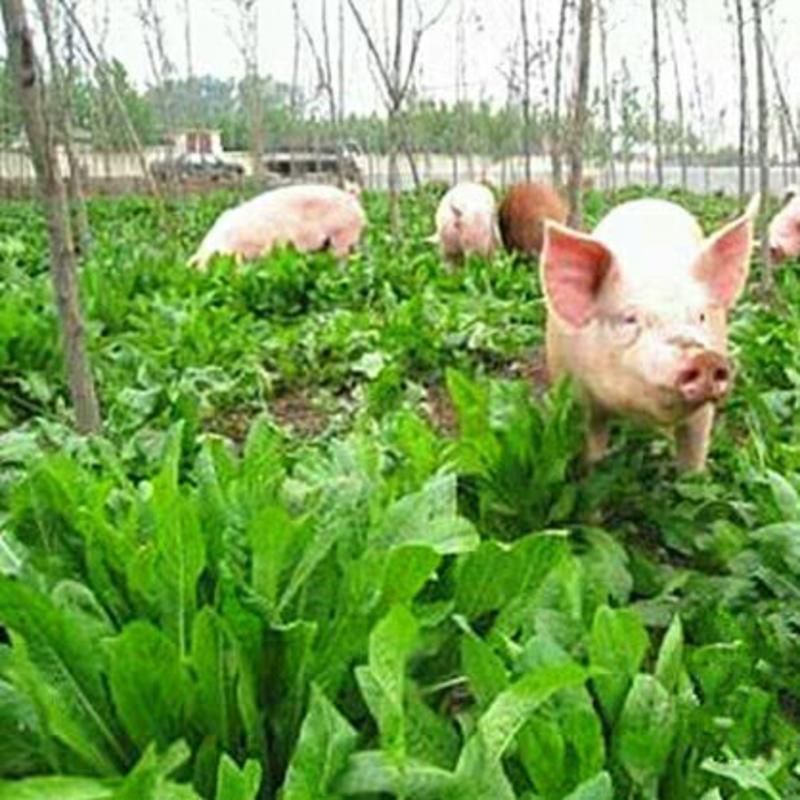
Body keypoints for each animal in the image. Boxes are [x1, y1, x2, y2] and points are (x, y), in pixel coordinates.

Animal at [540, 195, 760, 472]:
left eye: (700, 316)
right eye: (630, 319)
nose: (705, 358)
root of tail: (649, 200)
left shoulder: (703, 411)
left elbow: (694, 450)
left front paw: (694, 478)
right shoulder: (573, 394)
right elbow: (592, 442)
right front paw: (592, 469)